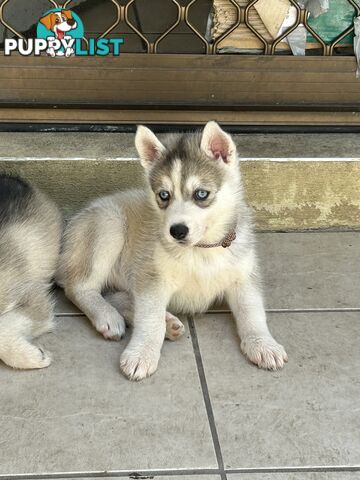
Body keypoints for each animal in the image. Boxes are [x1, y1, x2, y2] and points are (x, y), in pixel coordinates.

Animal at [60, 122, 288, 380]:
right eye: (164, 195)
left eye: (201, 194)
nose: (177, 231)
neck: (201, 250)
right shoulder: (153, 278)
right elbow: (150, 319)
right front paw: (141, 354)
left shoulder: (244, 277)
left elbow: (252, 312)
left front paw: (264, 344)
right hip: (108, 225)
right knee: (79, 288)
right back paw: (108, 316)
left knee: (115, 294)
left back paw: (165, 322)